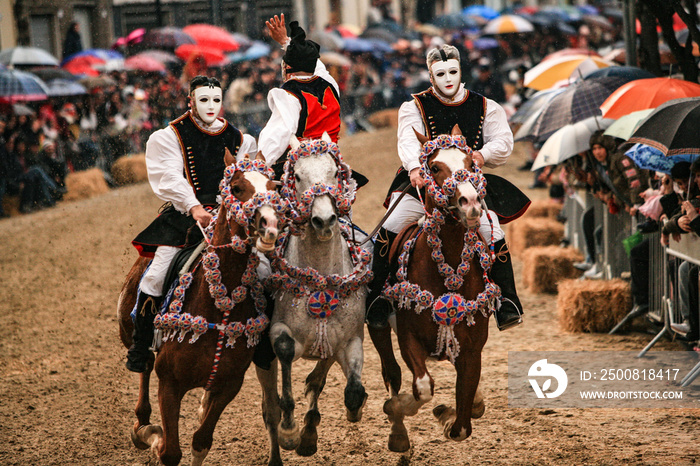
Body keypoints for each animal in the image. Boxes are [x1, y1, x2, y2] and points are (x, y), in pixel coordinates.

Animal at [117, 151, 288, 464]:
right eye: (236, 188)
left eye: (274, 187)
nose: (270, 225)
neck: (217, 308)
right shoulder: (169, 383)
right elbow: (170, 451)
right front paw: (156, 440)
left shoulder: (227, 385)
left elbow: (201, 441)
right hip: (133, 337)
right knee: (143, 367)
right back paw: (143, 429)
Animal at [366, 125, 498, 454]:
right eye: (435, 168)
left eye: (470, 163)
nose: (470, 203)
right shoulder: (409, 338)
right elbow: (422, 388)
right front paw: (401, 408)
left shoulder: (471, 351)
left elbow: (463, 424)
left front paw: (449, 416)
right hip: (378, 326)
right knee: (392, 373)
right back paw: (398, 433)